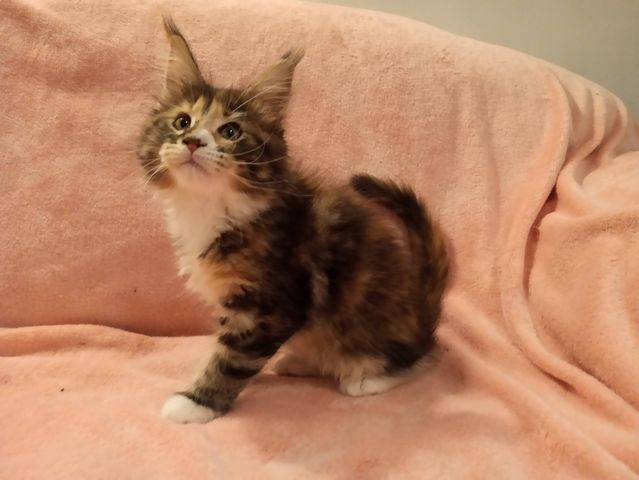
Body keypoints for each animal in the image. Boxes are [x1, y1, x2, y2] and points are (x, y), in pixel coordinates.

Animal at [137, 17, 449, 424]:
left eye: (230, 131)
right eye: (182, 121)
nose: (193, 141)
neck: (213, 208)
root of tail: (424, 312)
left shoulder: (272, 306)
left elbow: (231, 359)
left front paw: (197, 402)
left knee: (417, 358)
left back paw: (365, 376)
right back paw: (302, 361)